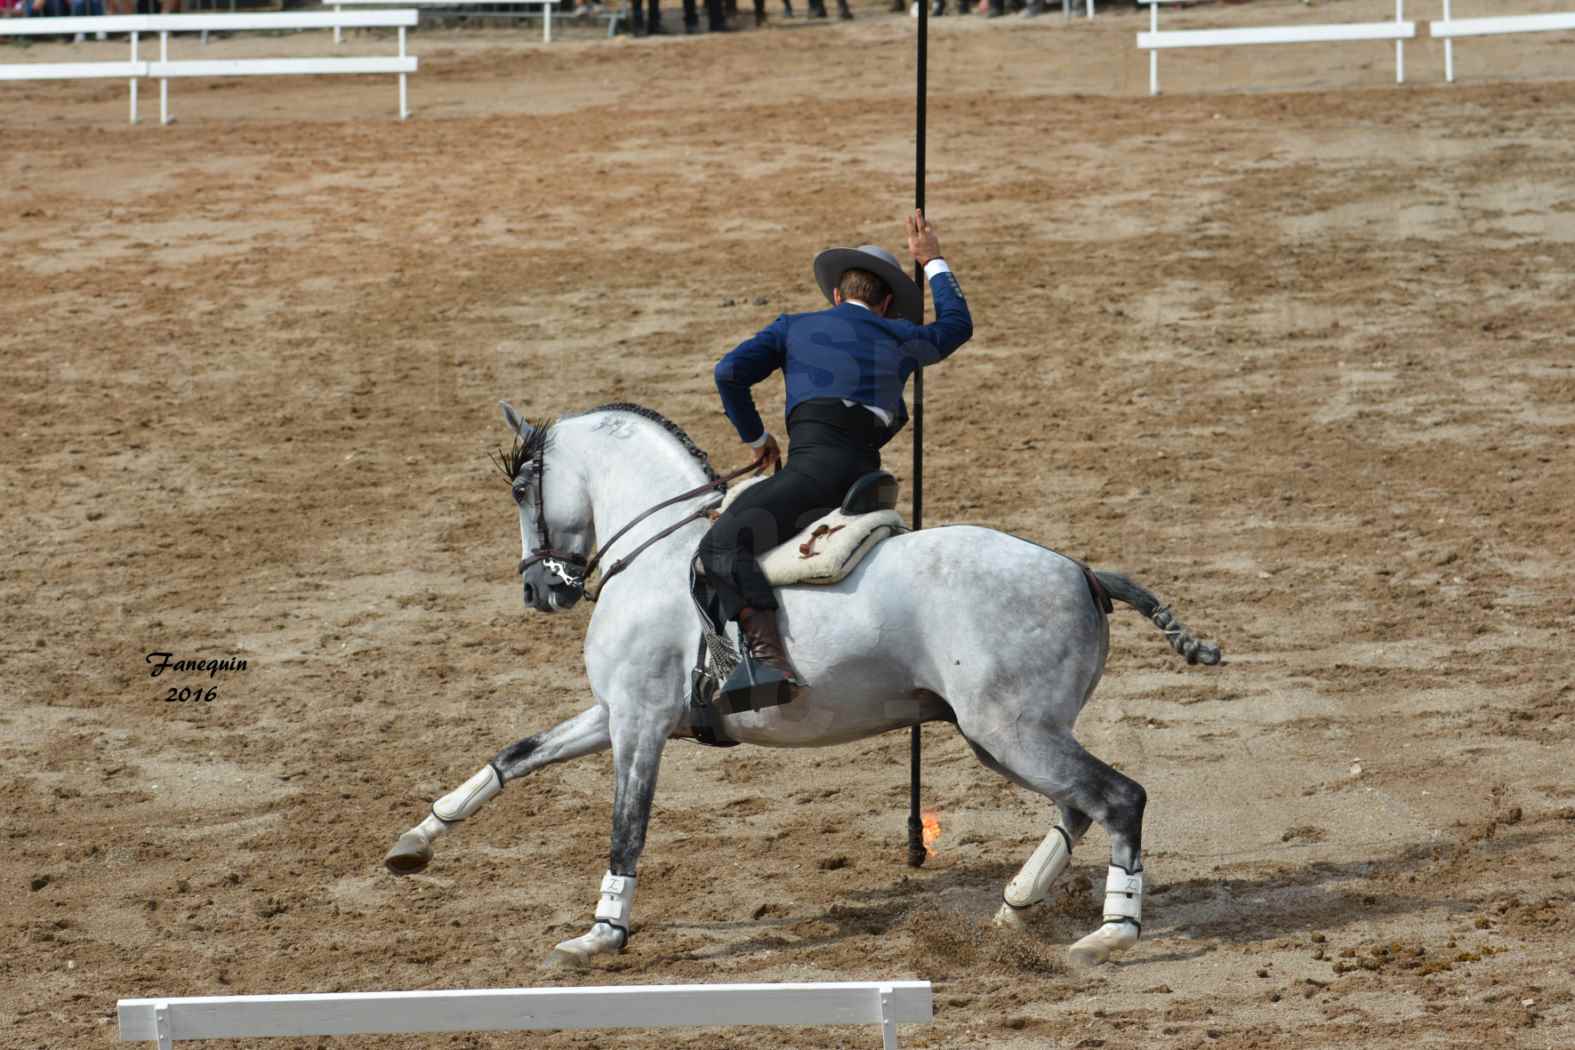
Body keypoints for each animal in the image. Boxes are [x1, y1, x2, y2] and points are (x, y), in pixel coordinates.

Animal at [381, 399, 1215, 969]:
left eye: (522, 487)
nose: (539, 590)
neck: (654, 553)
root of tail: (1080, 571)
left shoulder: (641, 724)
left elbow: (626, 828)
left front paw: (601, 933)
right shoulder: (617, 712)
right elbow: (514, 756)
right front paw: (414, 841)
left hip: (1011, 732)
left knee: (1118, 799)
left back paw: (1110, 931)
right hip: (1003, 735)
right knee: (1078, 806)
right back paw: (1015, 907)